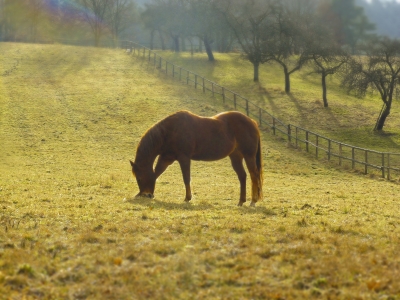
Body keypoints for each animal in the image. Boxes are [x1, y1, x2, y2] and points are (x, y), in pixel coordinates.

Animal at [130, 110, 264, 206]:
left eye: (139, 178)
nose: (146, 195)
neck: (170, 131)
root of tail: (252, 122)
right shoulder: (166, 158)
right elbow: (156, 174)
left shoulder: (184, 158)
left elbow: (186, 178)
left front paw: (187, 198)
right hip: (235, 156)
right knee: (242, 176)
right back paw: (241, 201)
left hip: (249, 155)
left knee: (254, 175)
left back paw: (253, 201)